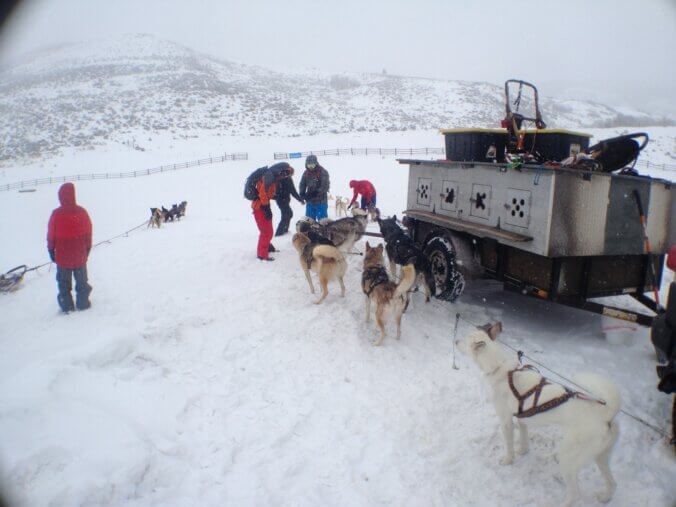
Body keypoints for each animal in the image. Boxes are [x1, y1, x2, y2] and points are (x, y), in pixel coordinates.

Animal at [456, 324, 620, 506]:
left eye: (465, 340)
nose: (455, 341)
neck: (500, 368)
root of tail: (606, 414)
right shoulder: (522, 419)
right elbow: (524, 438)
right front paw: (523, 451)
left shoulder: (506, 420)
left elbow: (509, 445)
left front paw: (508, 460)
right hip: (601, 457)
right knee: (613, 483)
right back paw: (605, 498)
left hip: (568, 459)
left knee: (575, 494)